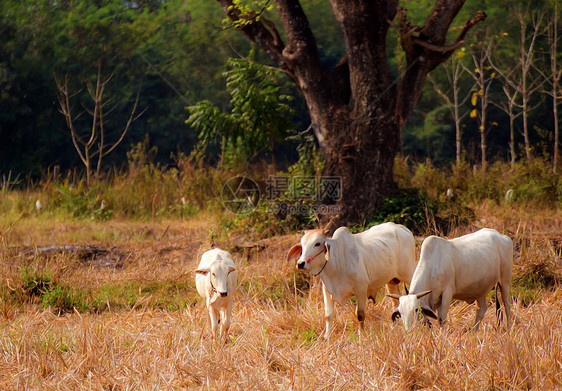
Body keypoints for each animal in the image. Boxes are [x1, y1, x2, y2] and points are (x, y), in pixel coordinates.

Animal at [286, 222, 414, 342]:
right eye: (302, 244)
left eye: (317, 243)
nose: (300, 263)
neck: (336, 262)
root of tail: (402, 228)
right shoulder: (327, 290)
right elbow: (328, 315)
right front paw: (327, 338)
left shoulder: (361, 288)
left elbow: (360, 315)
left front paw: (361, 338)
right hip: (391, 281)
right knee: (396, 302)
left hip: (409, 274)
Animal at [384, 228, 512, 332]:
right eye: (400, 312)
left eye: (415, 310)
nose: (408, 330)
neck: (432, 265)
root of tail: (502, 236)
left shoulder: (447, 293)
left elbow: (441, 318)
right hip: (480, 288)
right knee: (481, 309)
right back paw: (474, 331)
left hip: (505, 280)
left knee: (506, 304)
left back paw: (509, 328)